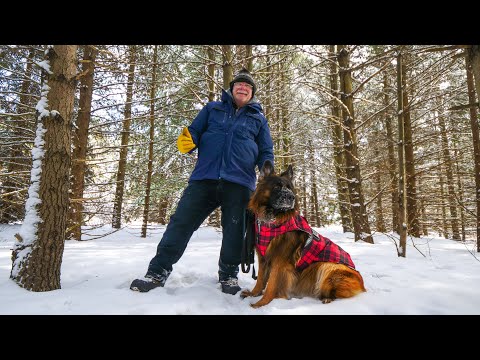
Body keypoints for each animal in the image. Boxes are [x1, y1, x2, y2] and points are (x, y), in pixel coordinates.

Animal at [242, 161, 366, 310]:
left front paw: (261, 304)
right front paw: (253, 294)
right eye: (277, 186)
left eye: (290, 188)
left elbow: (271, 285)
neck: (273, 221)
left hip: (327, 267)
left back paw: (327, 299)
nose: (292, 197)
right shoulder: (263, 259)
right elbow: (260, 280)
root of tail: (362, 284)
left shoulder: (280, 262)